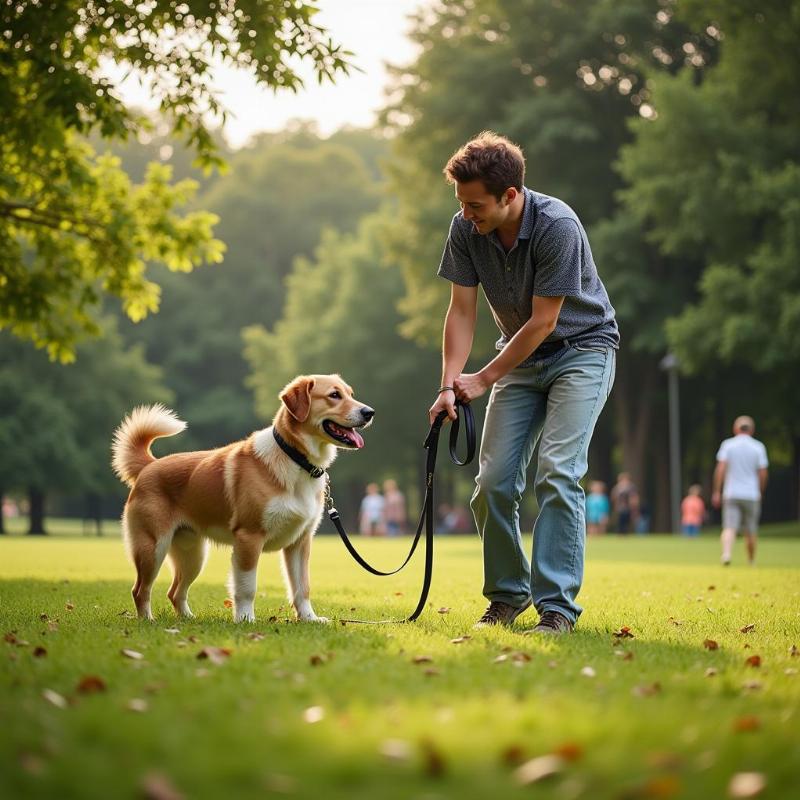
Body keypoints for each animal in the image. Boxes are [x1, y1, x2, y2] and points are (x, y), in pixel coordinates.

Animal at [111, 376, 374, 624]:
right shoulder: (249, 538)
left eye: (351, 394)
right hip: (153, 548)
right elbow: (247, 587)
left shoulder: (300, 542)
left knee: (175, 592)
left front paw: (309, 619)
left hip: (193, 555)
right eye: (334, 395)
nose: (369, 412)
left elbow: (302, 588)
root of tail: (150, 465)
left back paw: (188, 619)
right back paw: (147, 620)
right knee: (140, 590)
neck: (295, 459)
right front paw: (245, 619)